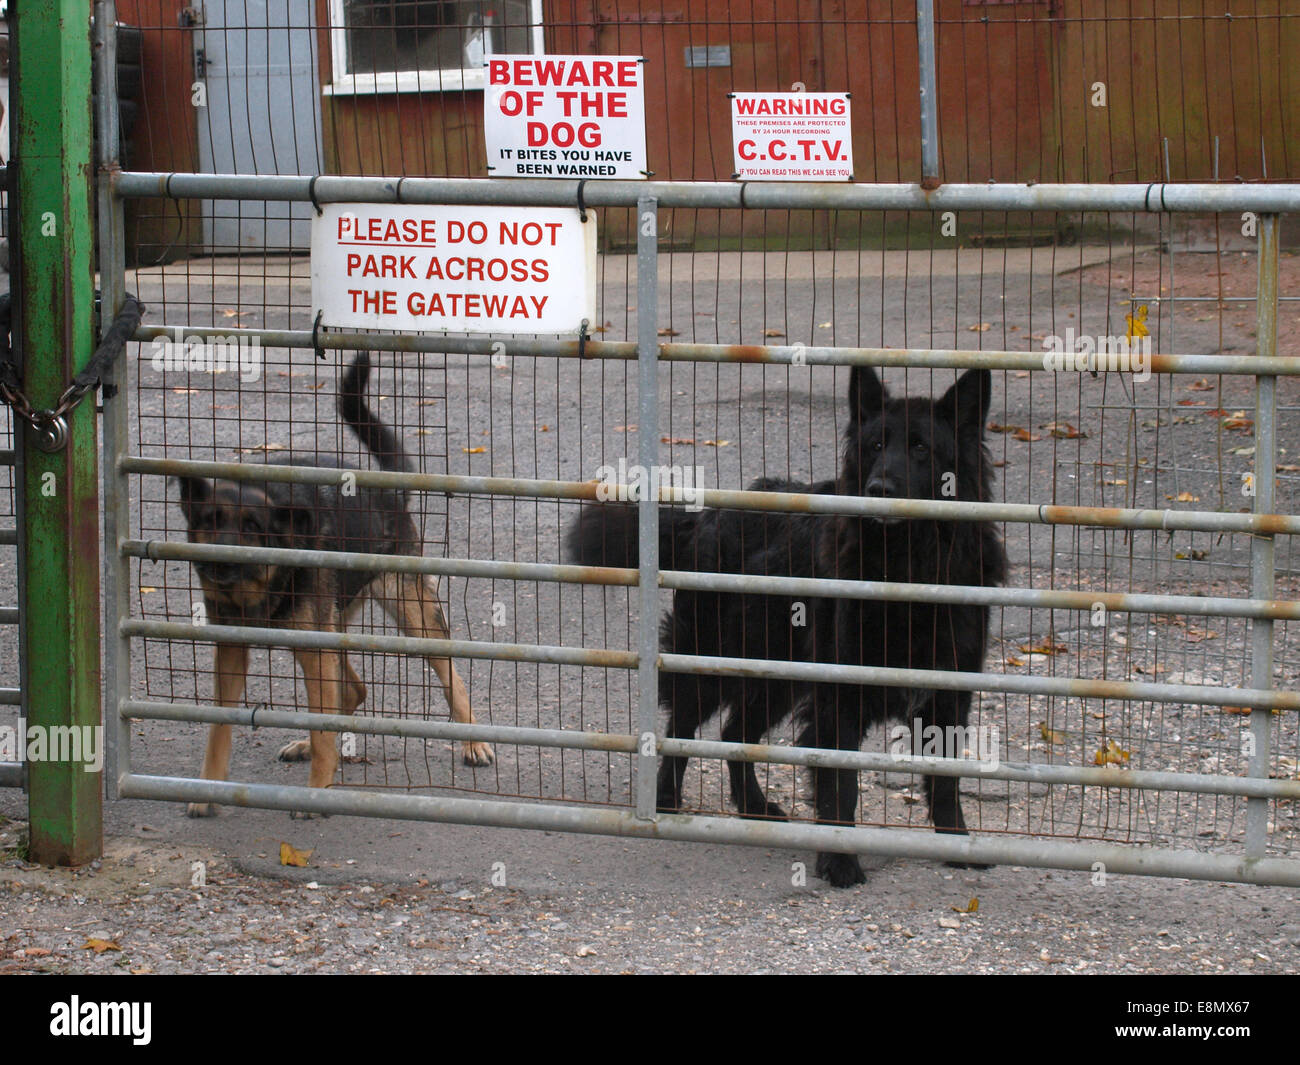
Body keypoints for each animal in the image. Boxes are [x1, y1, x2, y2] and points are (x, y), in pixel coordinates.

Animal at [178, 351, 491, 816]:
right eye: (208, 521)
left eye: (252, 527)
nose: (219, 561)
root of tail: (389, 494)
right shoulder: (233, 650)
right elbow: (220, 727)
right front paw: (209, 789)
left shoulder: (315, 647)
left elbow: (324, 724)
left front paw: (316, 790)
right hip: (331, 630)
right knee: (351, 692)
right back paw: (307, 745)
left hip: (411, 615)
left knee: (449, 676)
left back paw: (473, 742)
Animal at [566, 366, 1003, 884]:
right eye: (875, 445)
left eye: (921, 448)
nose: (878, 489)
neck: (907, 566)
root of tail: (707, 515)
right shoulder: (839, 697)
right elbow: (840, 784)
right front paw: (840, 860)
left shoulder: (949, 693)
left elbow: (946, 780)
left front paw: (957, 840)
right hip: (716, 660)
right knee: (682, 729)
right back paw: (667, 802)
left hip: (776, 676)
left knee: (735, 736)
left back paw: (753, 808)